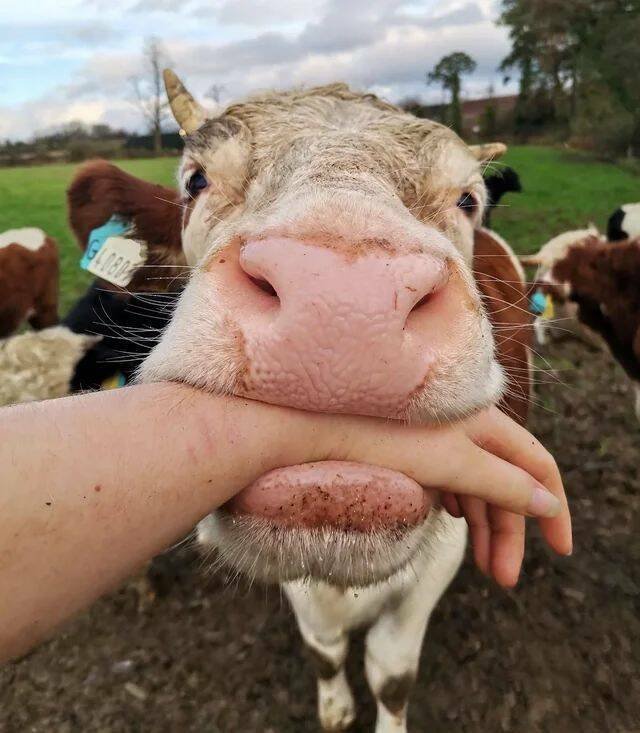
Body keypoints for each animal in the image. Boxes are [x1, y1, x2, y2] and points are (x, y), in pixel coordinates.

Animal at [138, 73, 536, 732]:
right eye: (196, 180)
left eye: (466, 200)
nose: (344, 305)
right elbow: (324, 651)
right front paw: (334, 706)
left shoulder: (438, 562)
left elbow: (392, 673)